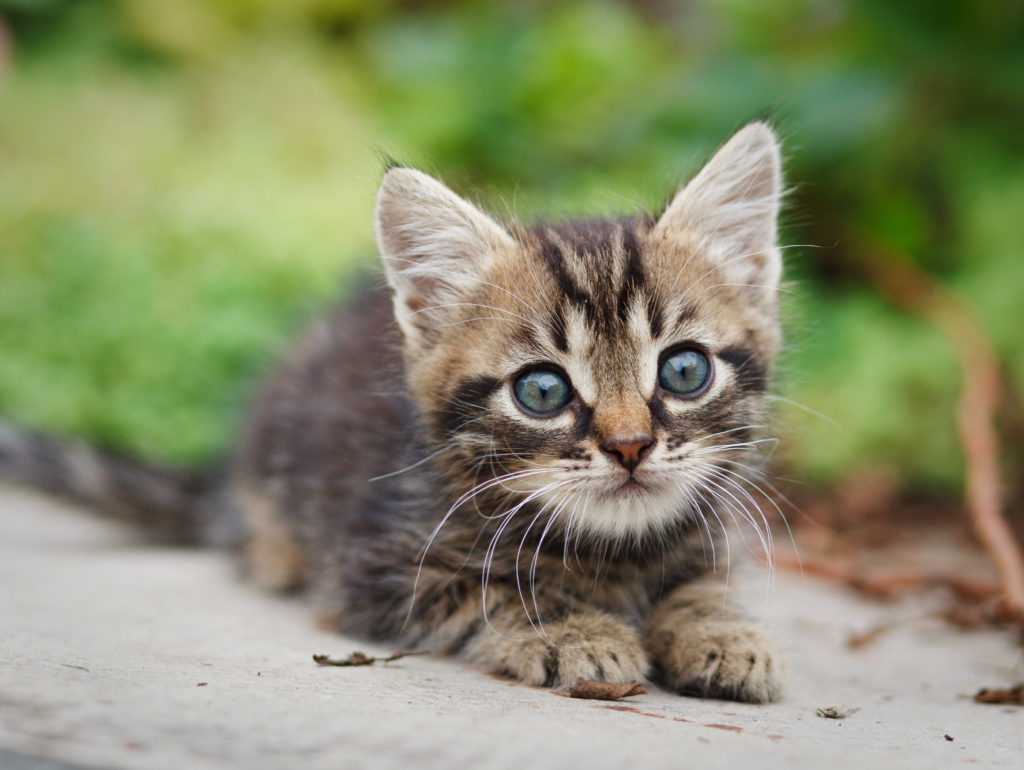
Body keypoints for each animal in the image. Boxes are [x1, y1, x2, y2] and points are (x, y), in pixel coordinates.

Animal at [0, 121, 786, 704]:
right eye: (541, 392)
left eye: (684, 371)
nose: (629, 445)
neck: (611, 548)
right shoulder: (376, 566)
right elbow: (496, 590)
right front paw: (572, 631)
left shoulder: (709, 532)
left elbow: (704, 582)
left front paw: (722, 633)